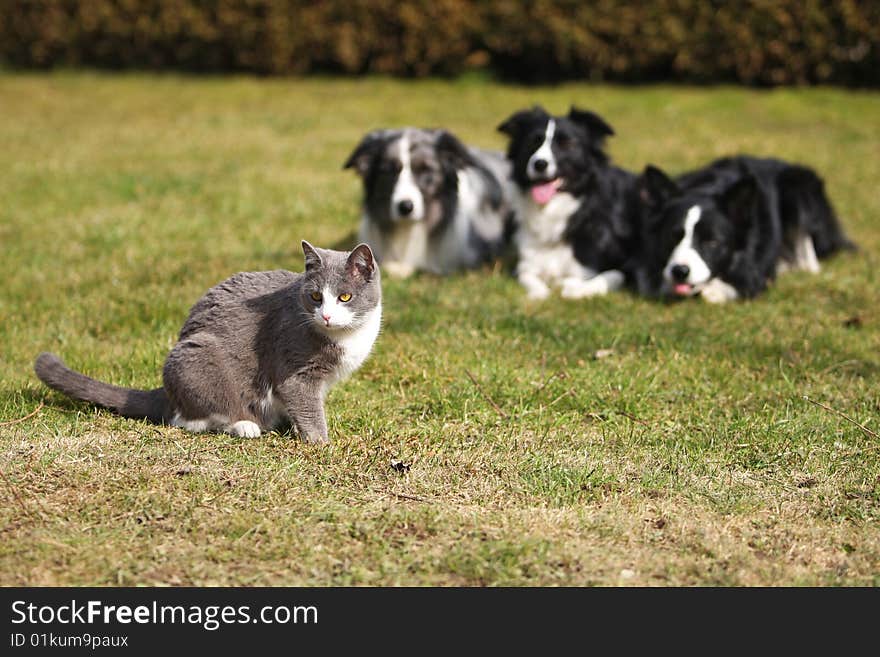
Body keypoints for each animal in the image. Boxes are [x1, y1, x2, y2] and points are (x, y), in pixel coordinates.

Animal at [34, 240, 382, 440]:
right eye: (314, 297)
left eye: (345, 297)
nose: (326, 316)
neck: (345, 336)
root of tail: (166, 392)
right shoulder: (294, 367)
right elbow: (306, 404)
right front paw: (321, 442)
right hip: (195, 359)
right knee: (186, 419)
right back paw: (245, 426)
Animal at [496, 105, 640, 300]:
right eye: (532, 142)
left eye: (567, 144)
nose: (539, 164)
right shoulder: (526, 263)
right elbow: (529, 277)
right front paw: (539, 293)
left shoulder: (625, 266)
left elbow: (602, 278)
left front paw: (570, 286)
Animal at [636, 156, 856, 302]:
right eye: (671, 237)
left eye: (712, 242)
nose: (679, 271)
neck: (708, 190)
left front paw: (714, 290)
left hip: (799, 189)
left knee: (808, 259)